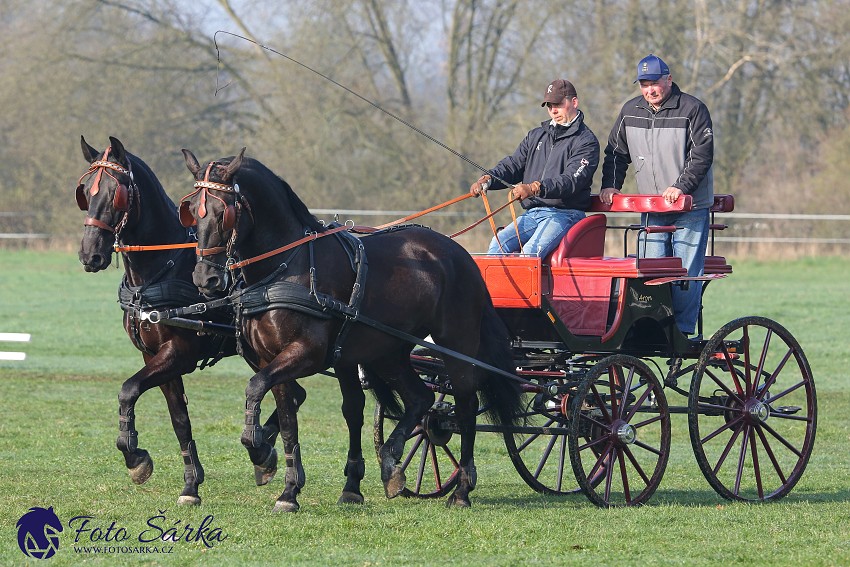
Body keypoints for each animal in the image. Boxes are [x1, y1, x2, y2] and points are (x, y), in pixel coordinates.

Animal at [77, 138, 294, 506]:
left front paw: (136, 458)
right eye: (85, 192)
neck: (161, 269)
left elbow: (128, 390)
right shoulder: (153, 355)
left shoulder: (178, 352)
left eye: (116, 193)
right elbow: (179, 419)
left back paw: (263, 451)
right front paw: (190, 484)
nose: (89, 253)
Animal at [180, 148, 524, 510]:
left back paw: (461, 490)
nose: (206, 278)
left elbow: (255, 387)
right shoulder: (269, 358)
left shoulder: (307, 354)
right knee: (420, 397)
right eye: (190, 211)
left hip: (456, 344)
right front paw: (288, 487)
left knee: (465, 405)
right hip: (389, 351)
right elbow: (286, 417)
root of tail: (461, 255)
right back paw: (390, 462)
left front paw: (260, 450)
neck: (287, 266)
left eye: (224, 213)